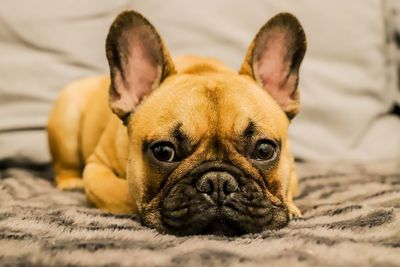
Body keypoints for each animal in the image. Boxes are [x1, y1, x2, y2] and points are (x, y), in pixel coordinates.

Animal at [48, 10, 308, 237]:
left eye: (264, 150)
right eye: (164, 152)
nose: (218, 182)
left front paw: (292, 207)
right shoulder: (97, 168)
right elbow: (126, 195)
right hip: (67, 117)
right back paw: (71, 183)